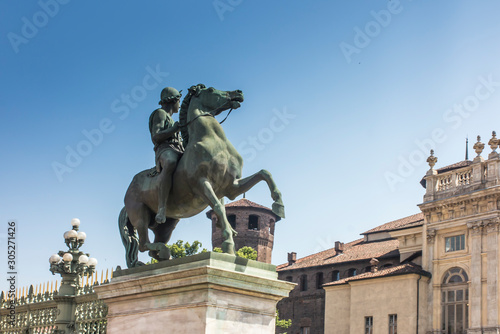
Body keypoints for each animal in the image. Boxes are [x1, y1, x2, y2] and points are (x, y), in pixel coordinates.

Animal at [119, 85, 286, 268]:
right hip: (140, 214)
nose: (238, 92)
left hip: (168, 225)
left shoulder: (232, 187)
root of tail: (128, 192)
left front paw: (279, 204)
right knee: (143, 244)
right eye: (211, 89)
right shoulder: (201, 184)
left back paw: (164, 255)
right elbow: (218, 207)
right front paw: (229, 243)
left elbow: (265, 173)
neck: (212, 141)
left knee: (152, 247)